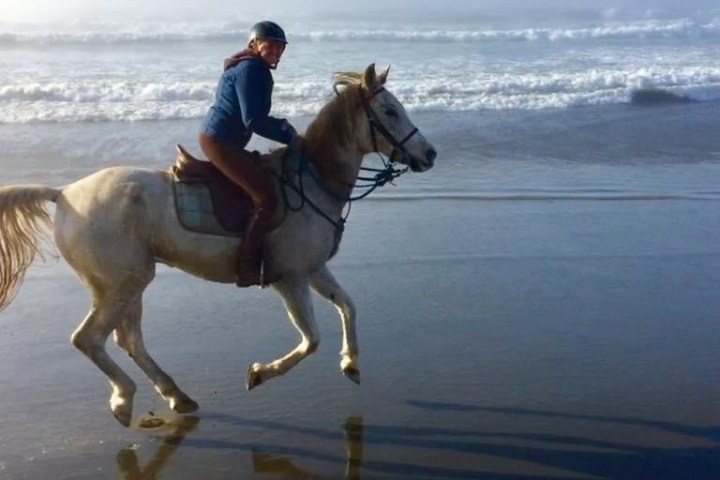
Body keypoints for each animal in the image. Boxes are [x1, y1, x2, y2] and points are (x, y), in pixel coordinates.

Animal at [0, 64, 437, 427]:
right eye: (390, 111)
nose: (430, 154)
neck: (313, 181)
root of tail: (64, 194)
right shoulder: (290, 279)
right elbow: (311, 339)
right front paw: (260, 373)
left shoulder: (314, 270)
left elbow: (348, 306)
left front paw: (351, 363)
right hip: (119, 284)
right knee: (89, 340)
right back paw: (124, 399)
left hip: (129, 283)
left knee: (128, 340)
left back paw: (176, 396)